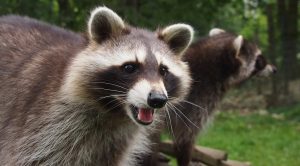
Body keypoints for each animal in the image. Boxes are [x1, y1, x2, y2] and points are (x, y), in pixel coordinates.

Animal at [0, 6, 193, 166]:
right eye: (130, 67)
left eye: (163, 70)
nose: (157, 99)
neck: (112, 112)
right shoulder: (40, 129)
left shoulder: (112, 147)